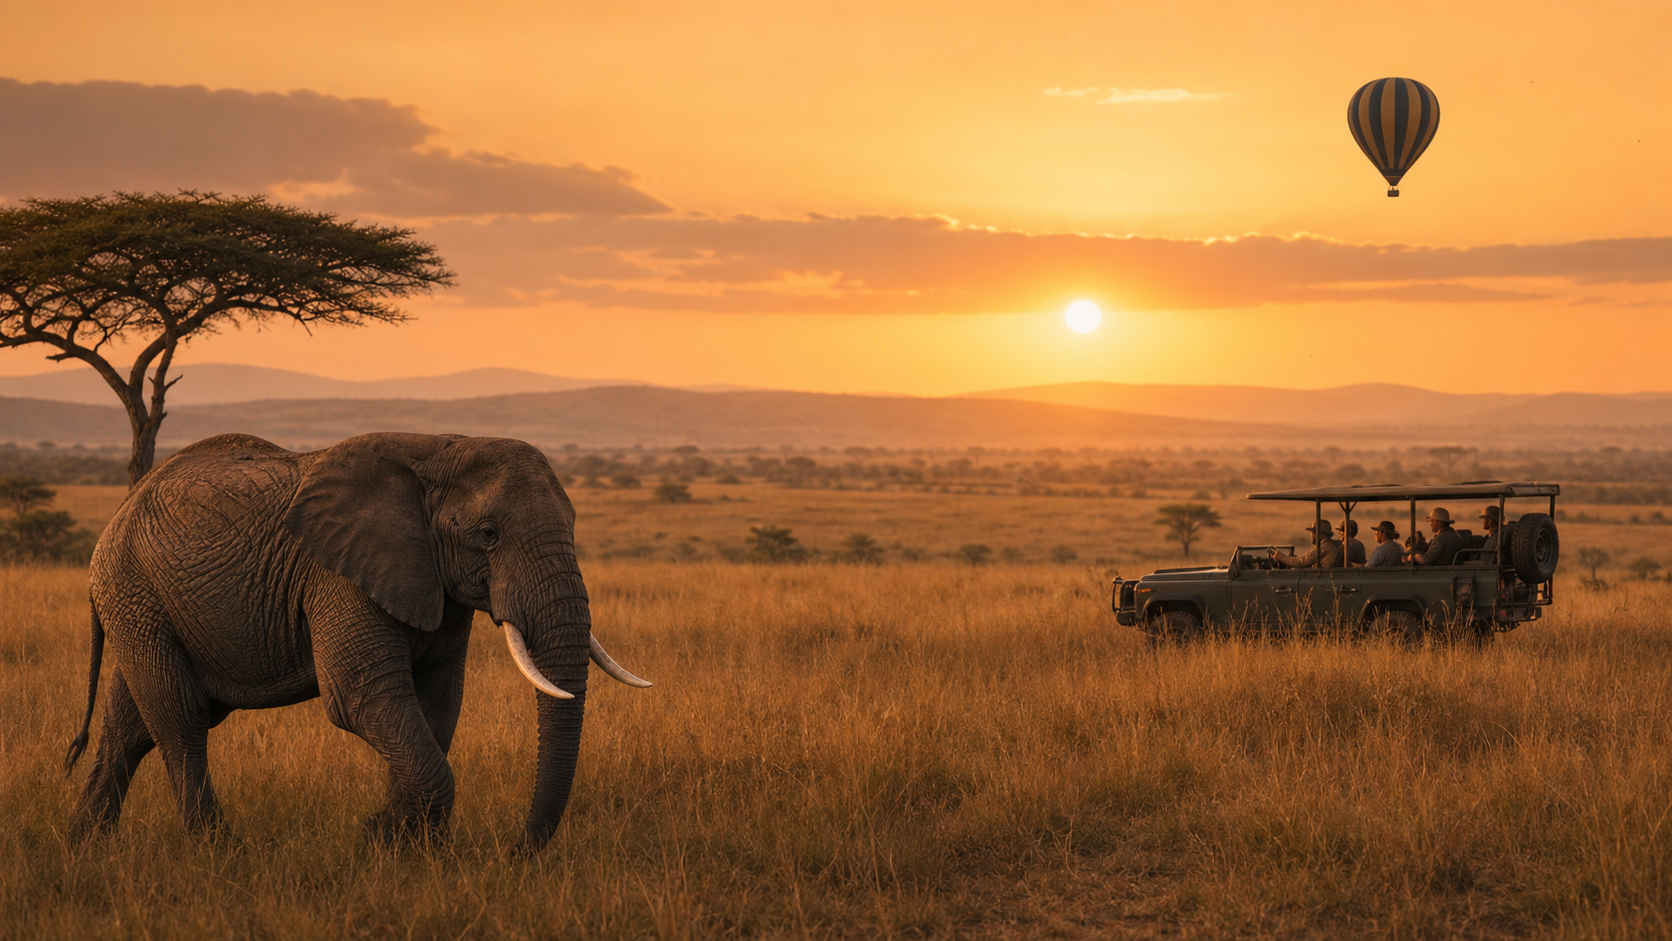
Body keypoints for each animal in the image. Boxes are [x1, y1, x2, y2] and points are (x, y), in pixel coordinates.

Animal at [63, 431, 650, 854]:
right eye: (488, 535)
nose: (513, 855)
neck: (438, 449)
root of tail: (117, 514)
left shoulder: (435, 586)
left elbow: (437, 704)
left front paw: (401, 847)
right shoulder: (338, 575)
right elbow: (362, 700)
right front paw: (384, 839)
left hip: (142, 604)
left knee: (131, 726)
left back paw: (85, 850)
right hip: (135, 591)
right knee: (180, 720)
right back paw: (221, 854)